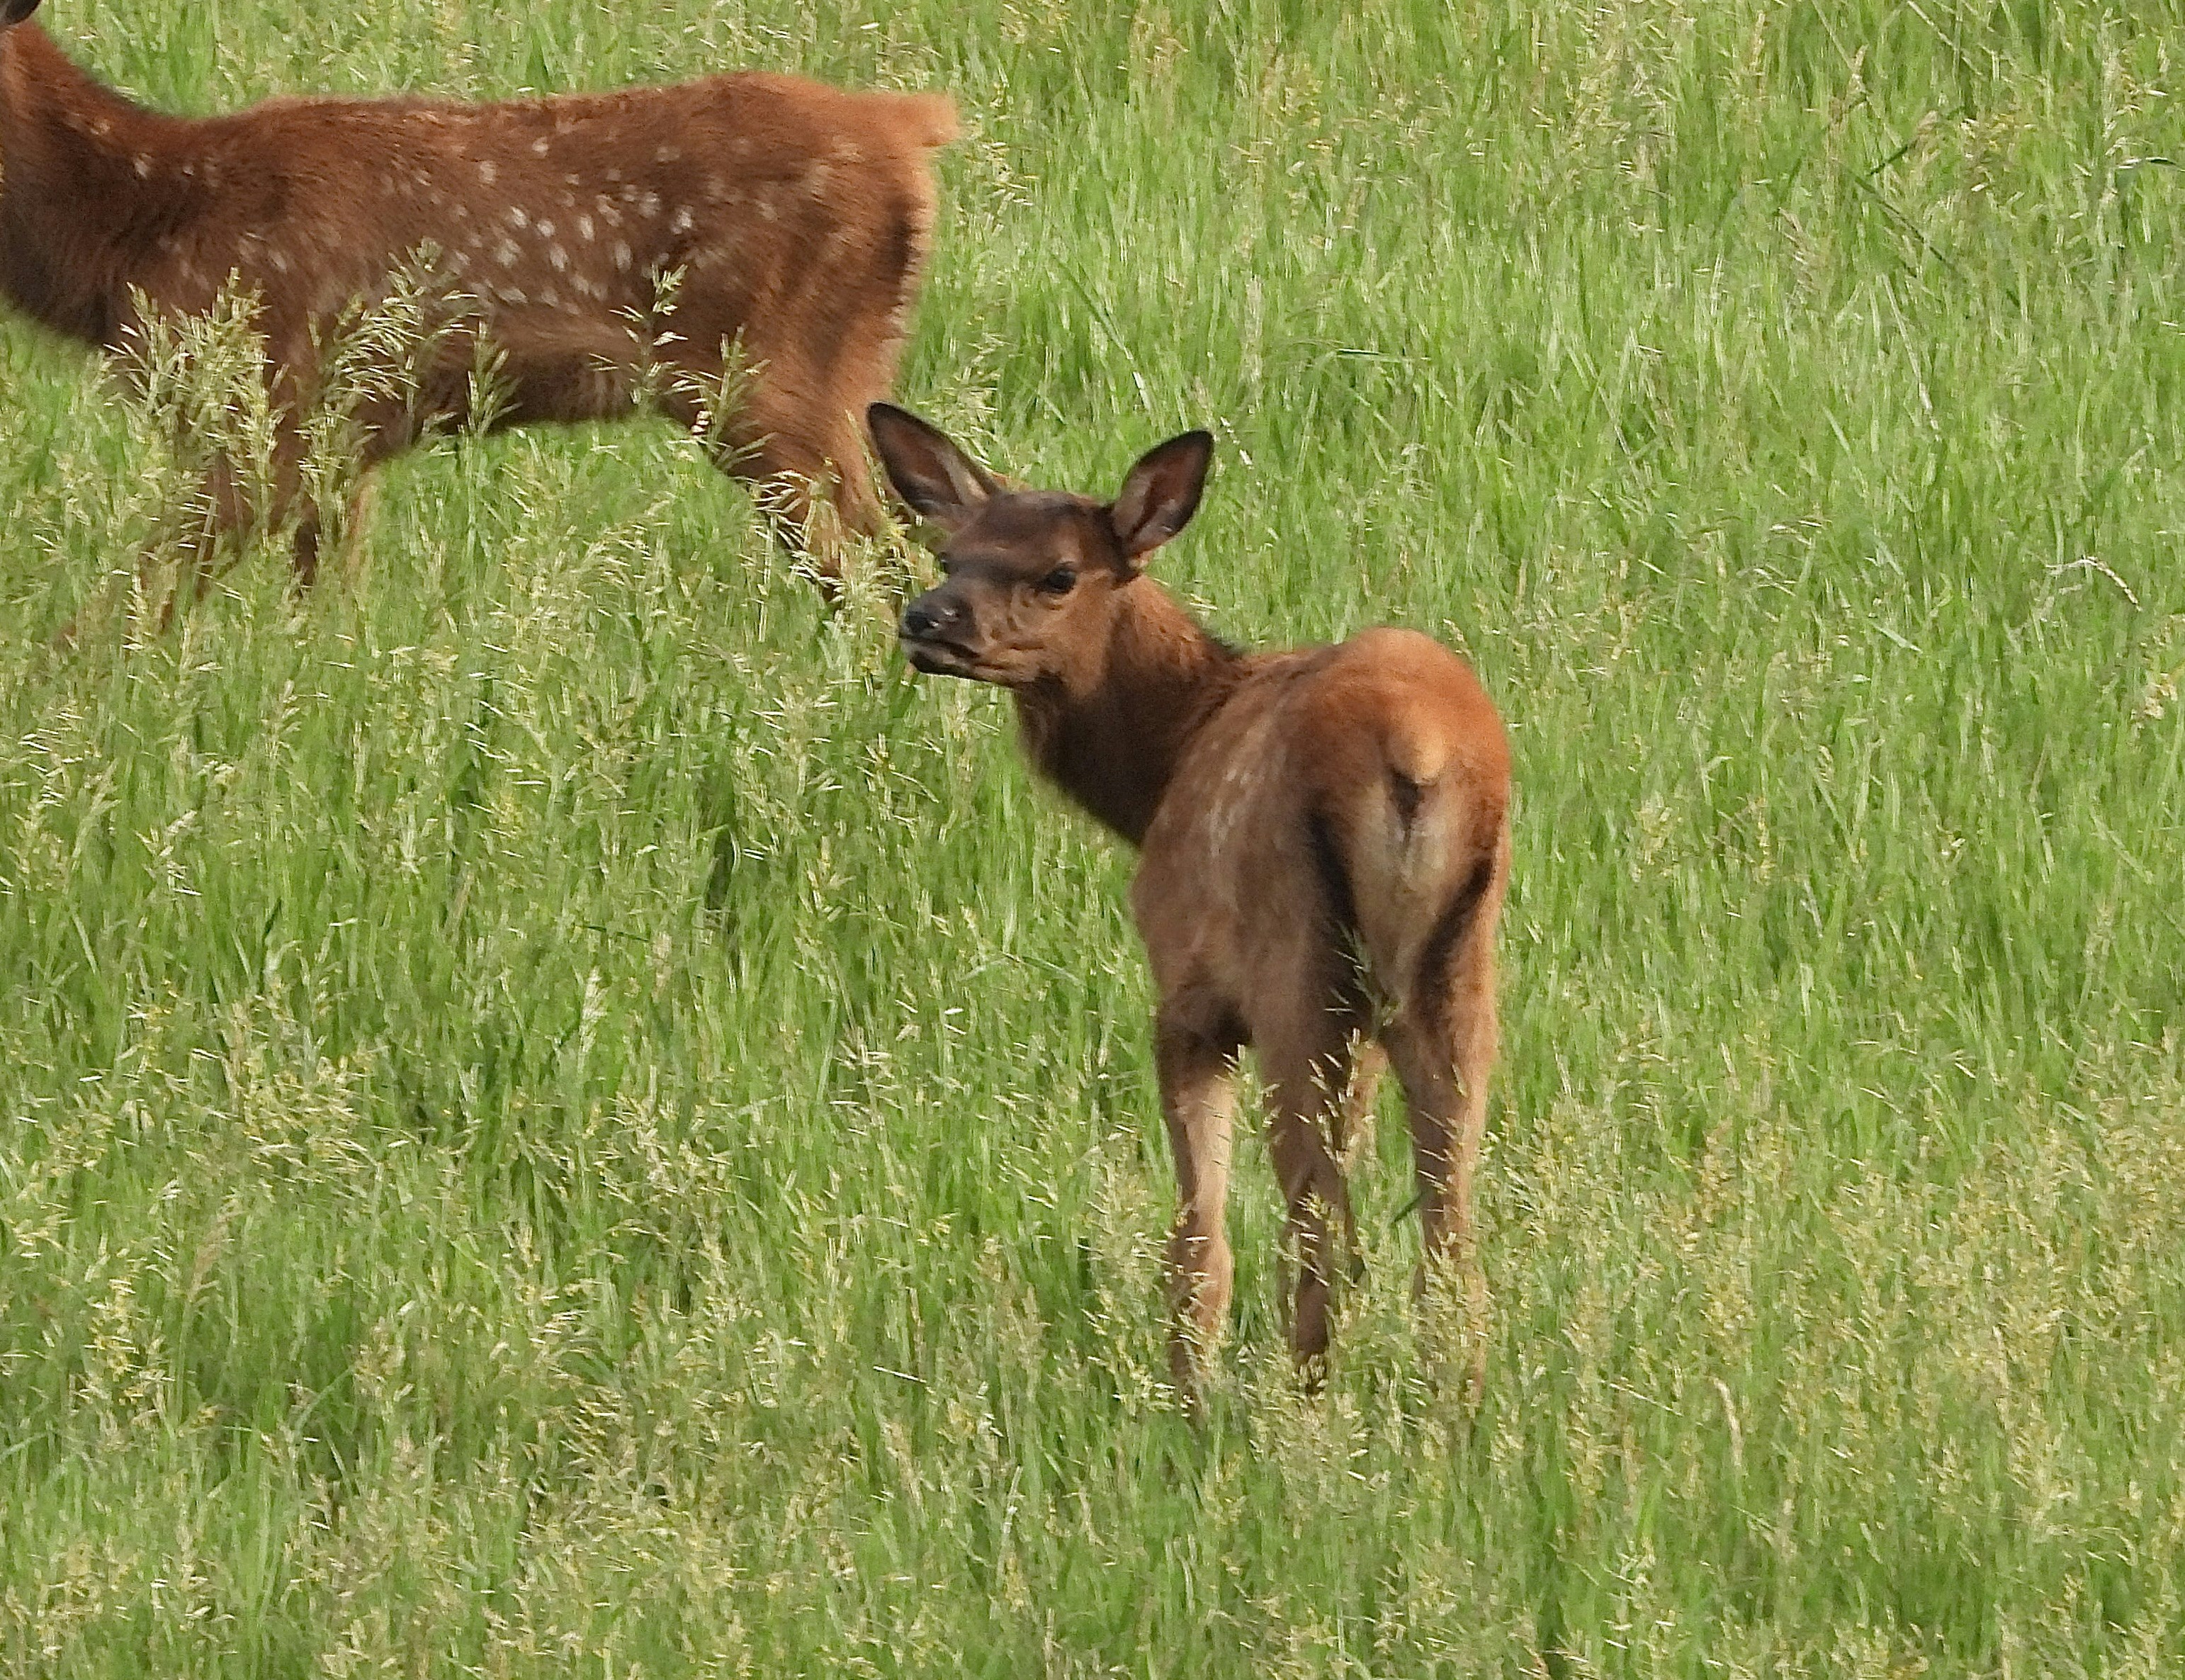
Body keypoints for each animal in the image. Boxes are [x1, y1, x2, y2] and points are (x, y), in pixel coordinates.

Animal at [0, 0, 955, 614]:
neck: (138, 233)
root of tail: (906, 128)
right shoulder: (344, 445)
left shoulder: (273, 423)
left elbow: (121, 615)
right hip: (834, 383)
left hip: (759, 383)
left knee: (880, 583)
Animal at [869, 404, 1513, 1408]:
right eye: (951, 553)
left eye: (1059, 573)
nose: (925, 618)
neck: (1168, 757)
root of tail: (1418, 752)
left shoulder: (1190, 993)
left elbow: (1197, 1236)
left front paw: (1186, 1392)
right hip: (1452, 973)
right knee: (1448, 1230)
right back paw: (1455, 1409)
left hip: (1298, 971)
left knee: (1319, 1225)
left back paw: (1304, 1408)